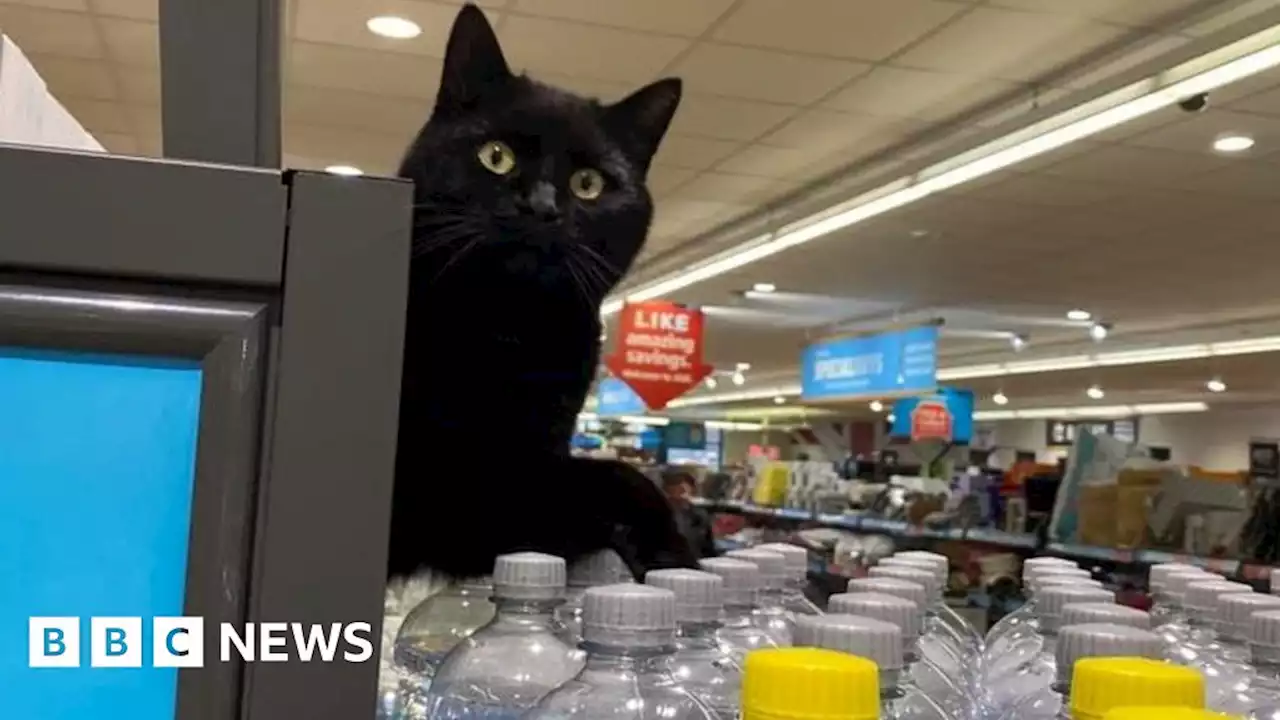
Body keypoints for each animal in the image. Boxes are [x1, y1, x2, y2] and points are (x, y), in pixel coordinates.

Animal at [384, 4, 696, 576]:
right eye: (497, 155)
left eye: (588, 183)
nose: (542, 207)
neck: (509, 331)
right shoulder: (455, 494)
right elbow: (620, 478)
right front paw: (674, 554)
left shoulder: (540, 449)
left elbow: (619, 474)